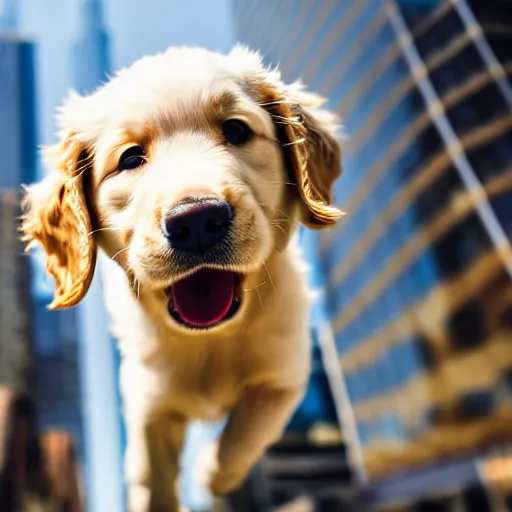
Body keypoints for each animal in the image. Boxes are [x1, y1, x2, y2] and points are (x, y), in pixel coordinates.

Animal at [20, 46, 342, 510]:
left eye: (236, 130)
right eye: (131, 158)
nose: (197, 220)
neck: (209, 339)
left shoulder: (284, 374)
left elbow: (247, 433)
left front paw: (211, 473)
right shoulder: (148, 403)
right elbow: (153, 478)